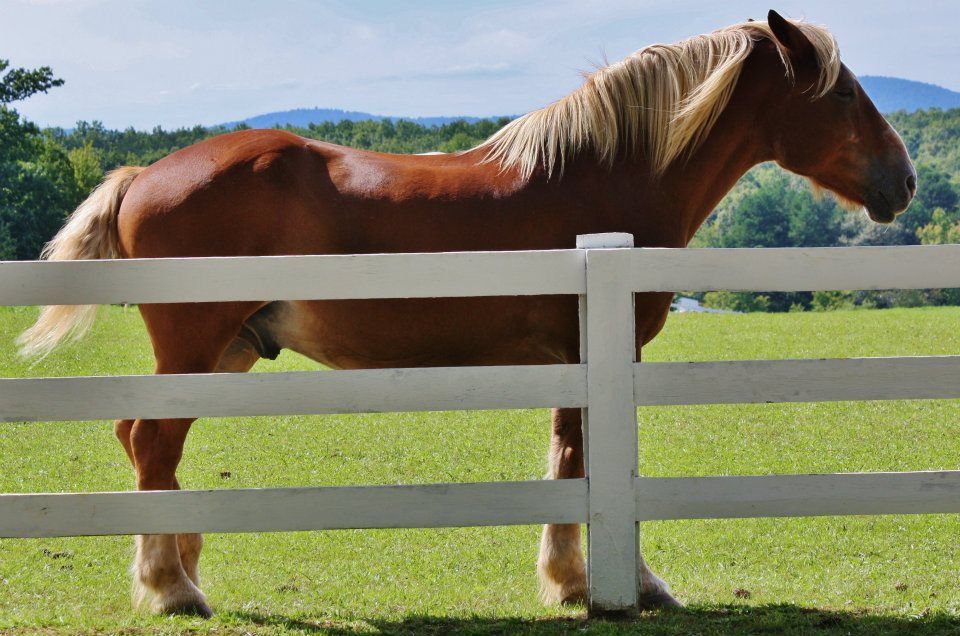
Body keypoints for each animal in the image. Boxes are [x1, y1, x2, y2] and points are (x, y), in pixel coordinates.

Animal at [19, 11, 915, 617]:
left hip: (226, 351)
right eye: (841, 91)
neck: (606, 176)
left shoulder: (571, 358)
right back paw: (172, 589)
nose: (902, 180)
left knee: (146, 447)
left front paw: (571, 581)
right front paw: (619, 582)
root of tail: (143, 172)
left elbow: (568, 459)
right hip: (196, 343)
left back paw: (182, 572)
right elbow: (588, 460)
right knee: (152, 443)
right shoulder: (602, 346)